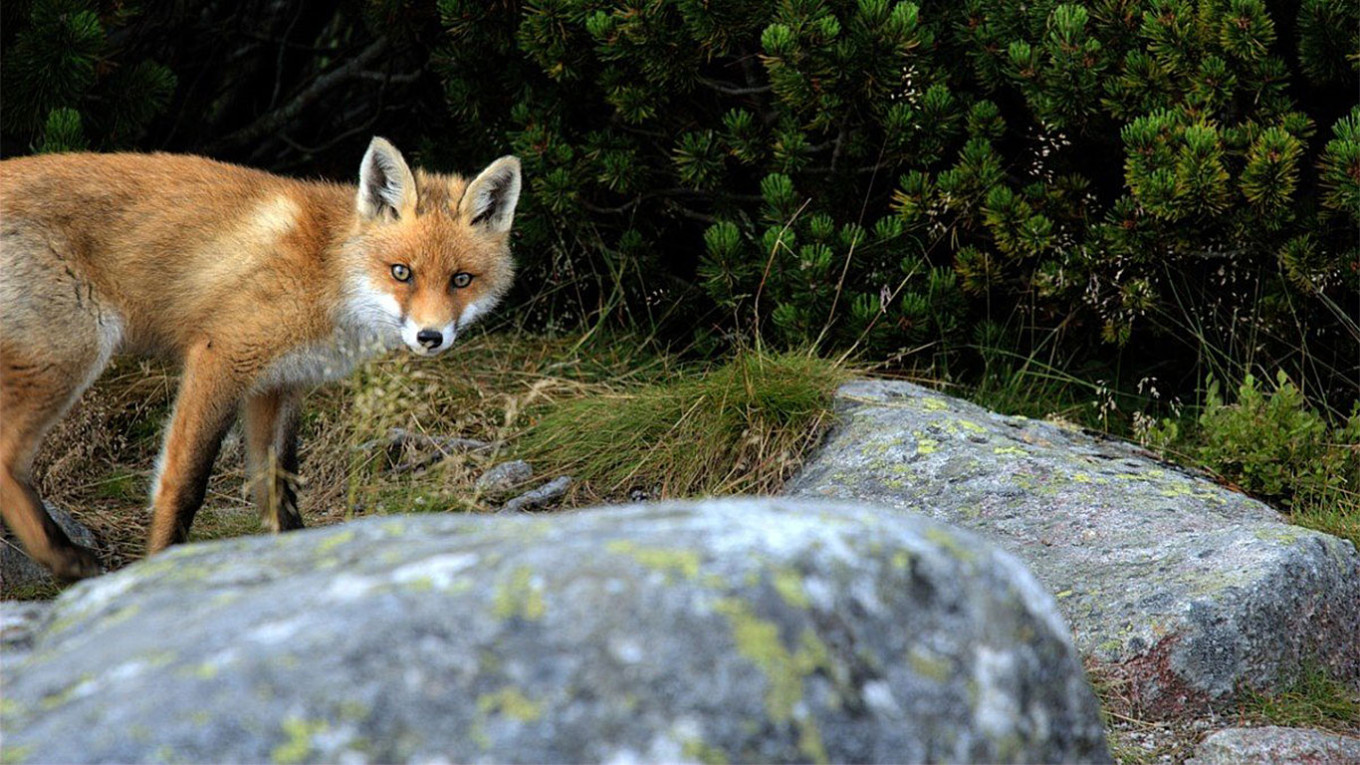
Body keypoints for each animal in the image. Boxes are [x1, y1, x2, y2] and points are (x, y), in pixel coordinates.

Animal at [0, 135, 519, 577]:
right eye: (401, 272)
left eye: (461, 279)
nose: (431, 337)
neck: (325, 270)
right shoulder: (221, 356)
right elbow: (184, 484)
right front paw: (161, 563)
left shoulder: (278, 385)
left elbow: (279, 492)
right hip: (70, 352)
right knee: (8, 457)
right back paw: (63, 557)